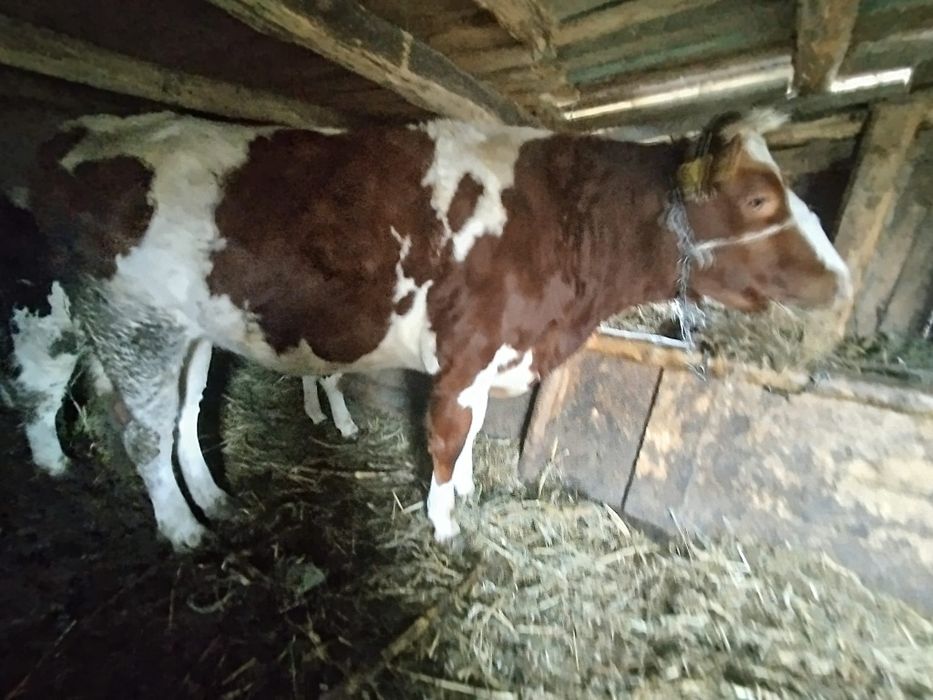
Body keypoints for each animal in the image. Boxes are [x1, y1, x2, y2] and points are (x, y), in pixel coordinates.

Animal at [7, 108, 849, 549]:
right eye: (756, 201)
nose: (841, 281)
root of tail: (89, 127)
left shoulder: (491, 358)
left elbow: (471, 438)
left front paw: (468, 492)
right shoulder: (466, 354)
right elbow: (447, 437)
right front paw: (445, 522)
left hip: (186, 332)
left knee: (182, 416)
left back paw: (212, 497)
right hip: (129, 318)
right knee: (137, 427)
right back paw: (177, 525)